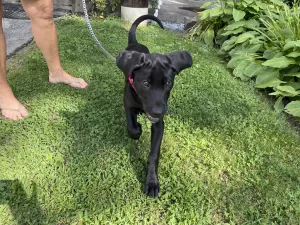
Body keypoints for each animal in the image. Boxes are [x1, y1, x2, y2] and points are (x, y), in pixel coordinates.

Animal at [115, 14, 192, 197]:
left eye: (168, 83)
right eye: (145, 83)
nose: (157, 112)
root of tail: (135, 43)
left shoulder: (159, 125)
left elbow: (154, 154)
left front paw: (151, 182)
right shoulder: (128, 103)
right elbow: (132, 127)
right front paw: (138, 130)